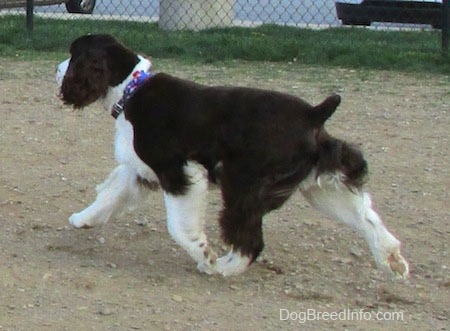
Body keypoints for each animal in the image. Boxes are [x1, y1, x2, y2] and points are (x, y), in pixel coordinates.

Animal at [55, 34, 408, 278]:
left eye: (73, 56)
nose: (57, 70)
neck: (131, 90)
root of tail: (313, 114)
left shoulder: (178, 171)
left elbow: (180, 226)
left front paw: (204, 254)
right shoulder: (141, 169)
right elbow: (111, 193)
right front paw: (83, 219)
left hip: (242, 183)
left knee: (251, 240)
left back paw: (224, 267)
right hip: (320, 184)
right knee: (364, 217)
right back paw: (392, 260)